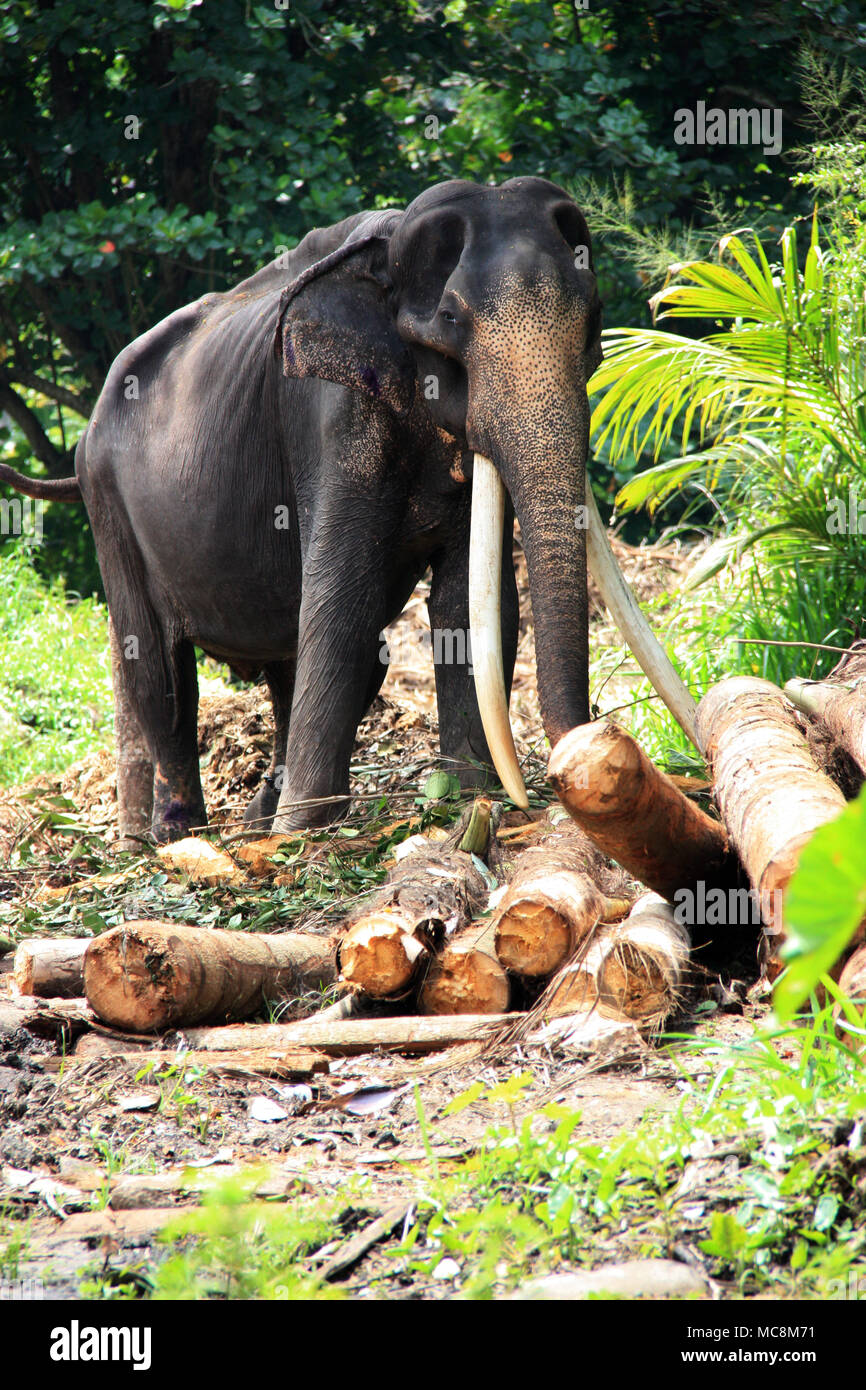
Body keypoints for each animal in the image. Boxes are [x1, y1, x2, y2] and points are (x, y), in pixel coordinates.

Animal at [0, 176, 693, 844]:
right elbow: (345, 596)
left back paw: (253, 819)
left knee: (289, 658)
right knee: (157, 668)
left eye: (594, 318)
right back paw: (175, 837)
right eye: (450, 316)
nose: (567, 773)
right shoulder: (326, 409)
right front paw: (305, 833)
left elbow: (469, 599)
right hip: (109, 504)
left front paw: (471, 796)